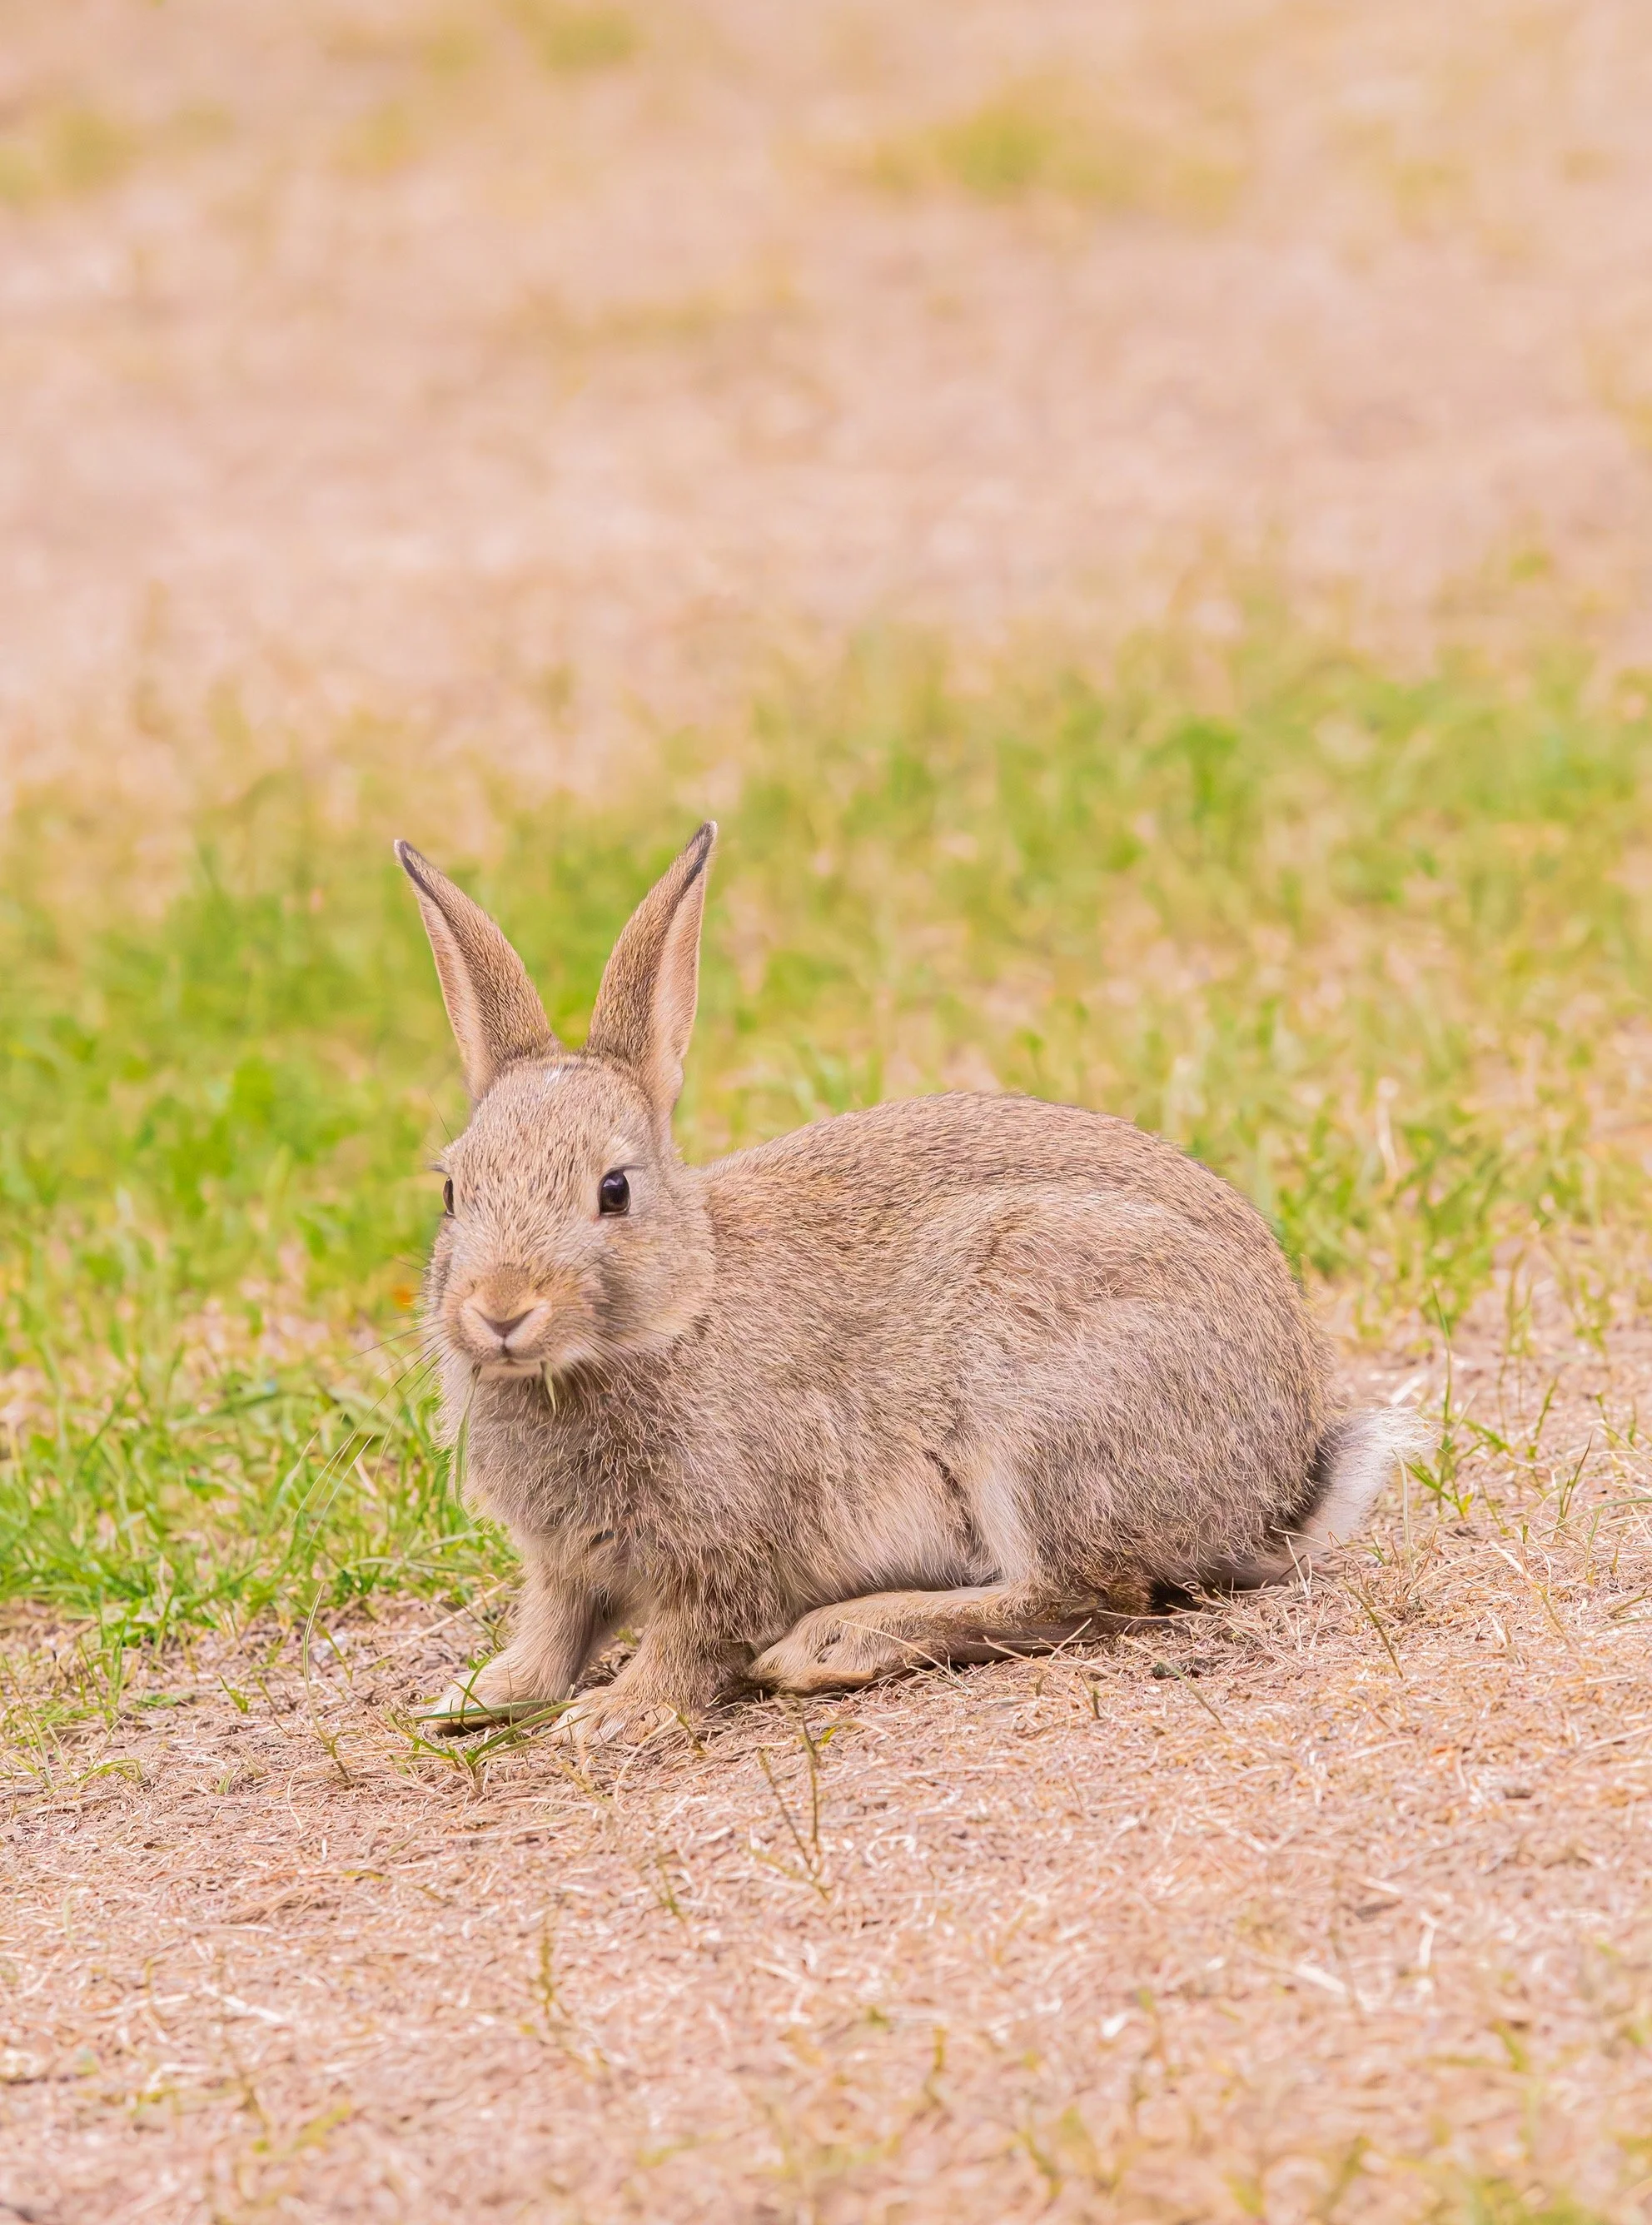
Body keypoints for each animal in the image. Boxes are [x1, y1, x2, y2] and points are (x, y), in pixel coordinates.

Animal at [397, 822, 1412, 1746]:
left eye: (614, 1191)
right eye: (451, 1190)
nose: (499, 1310)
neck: (679, 1308)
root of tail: (1272, 1488)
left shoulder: (732, 1545)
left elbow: (695, 1637)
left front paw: (616, 1716)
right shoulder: (566, 1568)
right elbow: (553, 1629)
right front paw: (476, 1696)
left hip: (1040, 1403)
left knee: (1084, 1596)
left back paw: (837, 1641)